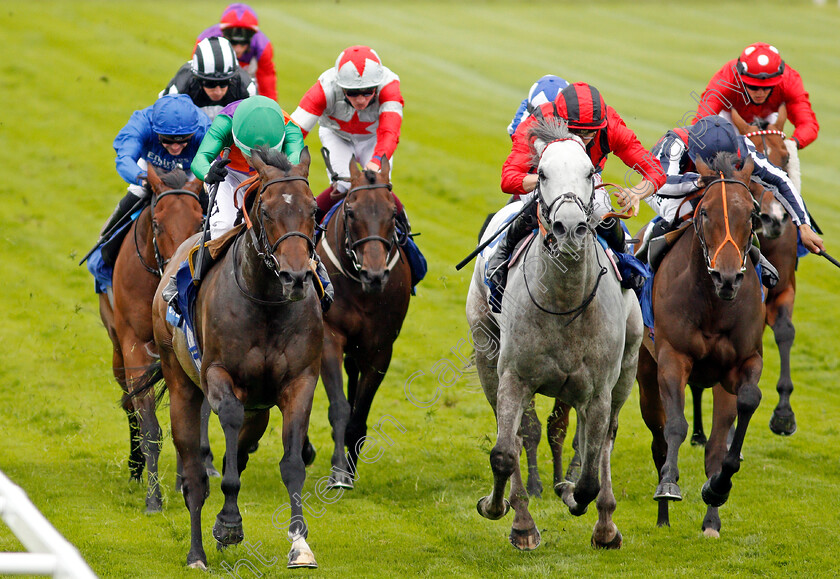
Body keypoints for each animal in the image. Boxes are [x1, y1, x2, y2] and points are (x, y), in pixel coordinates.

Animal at [97, 167, 203, 512]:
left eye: (200, 219)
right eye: (157, 222)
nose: (179, 270)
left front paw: (184, 482)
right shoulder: (134, 348)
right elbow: (149, 425)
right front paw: (153, 498)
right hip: (118, 352)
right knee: (129, 402)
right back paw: (135, 467)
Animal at [149, 148, 324, 572]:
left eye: (313, 210)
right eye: (267, 212)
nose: (296, 277)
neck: (266, 303)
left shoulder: (300, 381)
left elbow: (292, 464)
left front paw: (300, 545)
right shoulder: (218, 375)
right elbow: (226, 431)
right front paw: (229, 523)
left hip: (259, 407)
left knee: (242, 448)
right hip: (180, 383)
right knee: (194, 476)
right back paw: (197, 552)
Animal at [316, 155, 410, 490]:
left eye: (392, 213)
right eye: (351, 211)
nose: (375, 275)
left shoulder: (380, 349)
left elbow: (358, 413)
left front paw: (350, 468)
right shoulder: (329, 337)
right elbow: (339, 407)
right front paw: (337, 473)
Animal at [466, 115, 644, 552]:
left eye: (590, 172)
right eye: (542, 173)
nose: (570, 228)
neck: (565, 302)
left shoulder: (598, 390)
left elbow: (589, 480)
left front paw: (571, 492)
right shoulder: (512, 377)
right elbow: (504, 452)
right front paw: (510, 517)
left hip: (627, 368)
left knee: (605, 440)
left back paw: (605, 525)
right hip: (486, 354)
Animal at [636, 154, 768, 540]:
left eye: (751, 214)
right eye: (705, 211)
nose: (728, 277)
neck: (714, 304)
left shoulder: (744, 362)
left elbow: (746, 404)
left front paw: (718, 490)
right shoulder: (672, 358)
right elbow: (675, 426)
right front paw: (668, 484)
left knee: (715, 442)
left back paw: (711, 517)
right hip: (645, 373)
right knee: (659, 438)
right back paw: (663, 513)